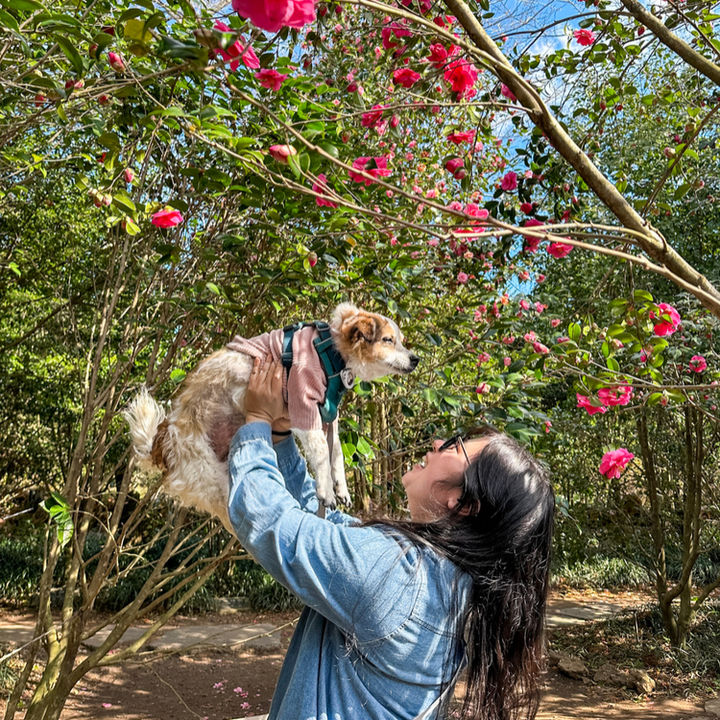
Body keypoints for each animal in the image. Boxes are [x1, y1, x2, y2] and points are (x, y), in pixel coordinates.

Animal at [122, 300, 416, 532]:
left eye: (400, 341)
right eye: (388, 340)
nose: (416, 359)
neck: (329, 351)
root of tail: (163, 441)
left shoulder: (328, 417)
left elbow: (336, 456)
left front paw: (341, 488)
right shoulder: (303, 406)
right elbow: (322, 453)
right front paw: (326, 490)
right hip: (211, 479)